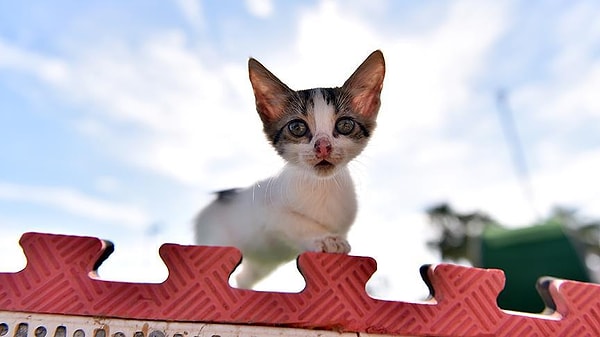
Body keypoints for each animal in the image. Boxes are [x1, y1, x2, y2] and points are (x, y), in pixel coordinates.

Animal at [195, 50, 386, 288]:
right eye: (297, 127)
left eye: (345, 125)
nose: (323, 146)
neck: (322, 187)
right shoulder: (267, 209)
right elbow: (294, 221)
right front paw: (326, 238)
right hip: (215, 238)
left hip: (263, 264)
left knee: (243, 277)